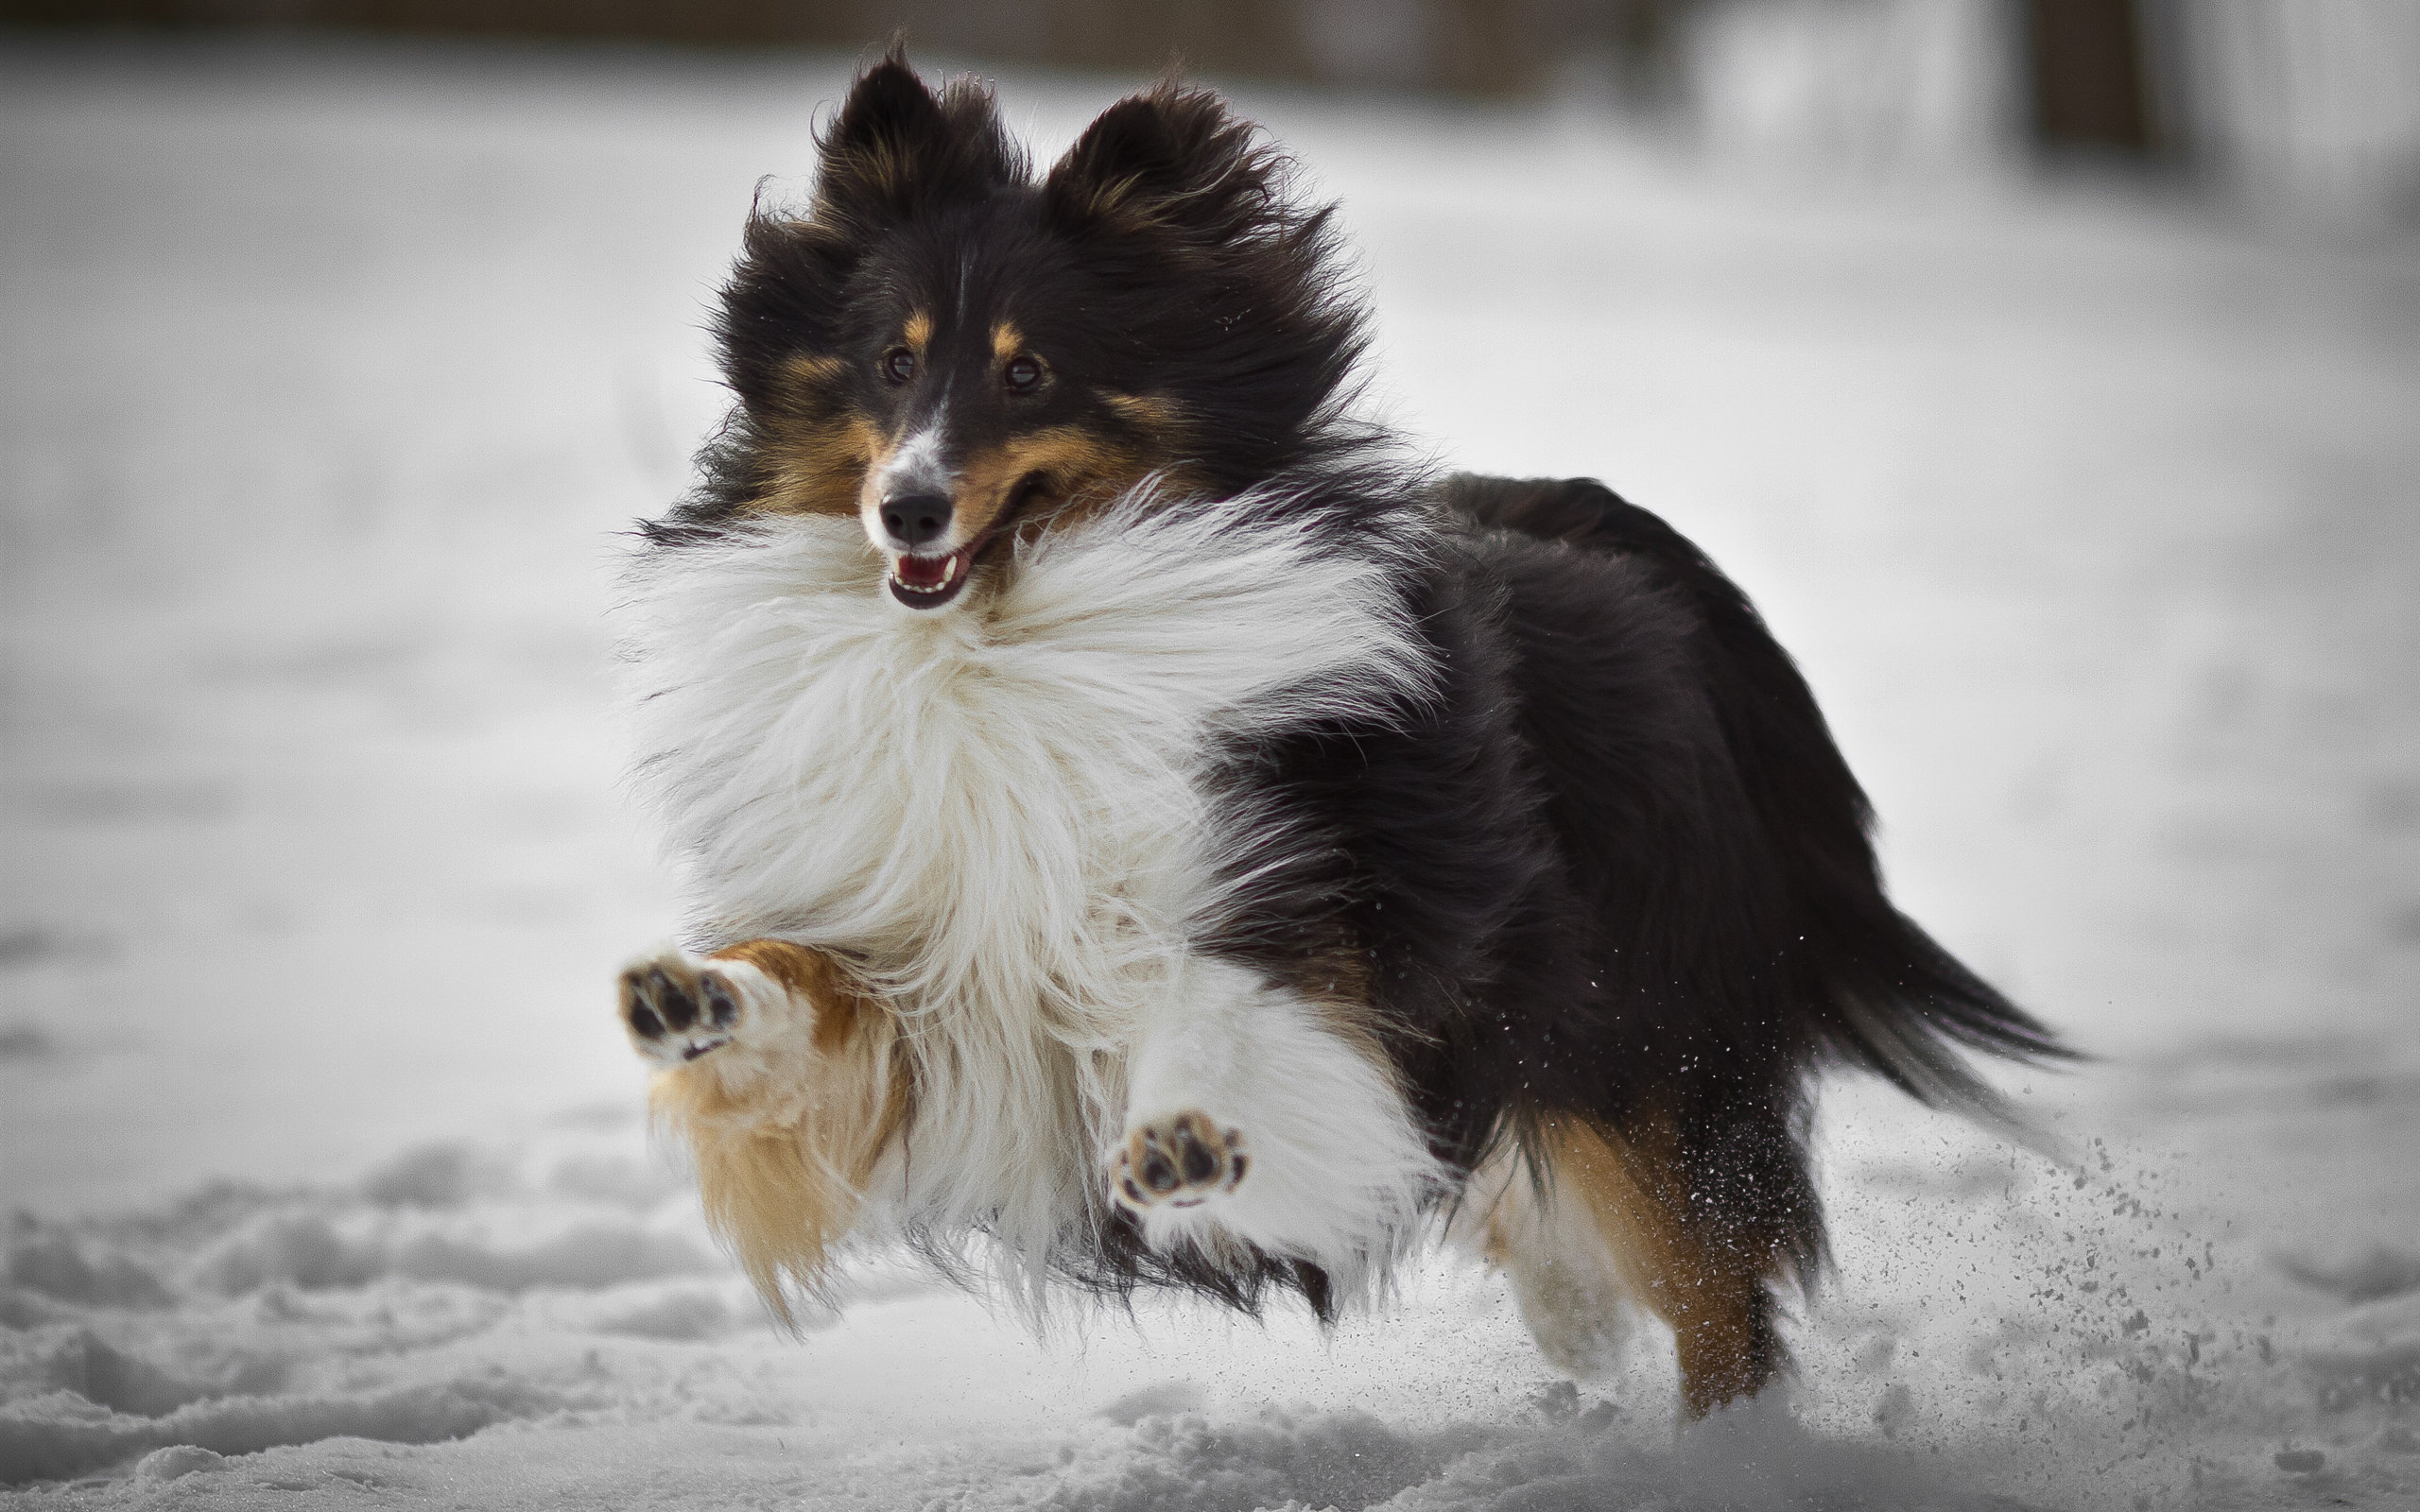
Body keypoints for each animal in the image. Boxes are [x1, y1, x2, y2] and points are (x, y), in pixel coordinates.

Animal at [614, 56, 2071, 1413]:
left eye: (1029, 371)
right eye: (894, 360)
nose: (908, 510)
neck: (1002, 639)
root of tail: (1599, 532)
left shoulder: (1290, 925)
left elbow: (1216, 1004)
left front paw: (1186, 1140)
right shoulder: (923, 977)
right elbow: (795, 984)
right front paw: (692, 999)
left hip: (1649, 1050)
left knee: (1717, 1295)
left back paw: (1723, 1447)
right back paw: (1575, 1327)